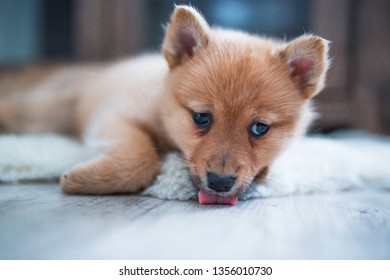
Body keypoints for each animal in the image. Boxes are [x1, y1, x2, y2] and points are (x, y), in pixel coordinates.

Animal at [0, 5, 330, 205]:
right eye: (201, 117)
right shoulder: (114, 116)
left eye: (260, 128)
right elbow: (140, 158)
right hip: (45, 111)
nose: (220, 183)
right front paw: (82, 179)